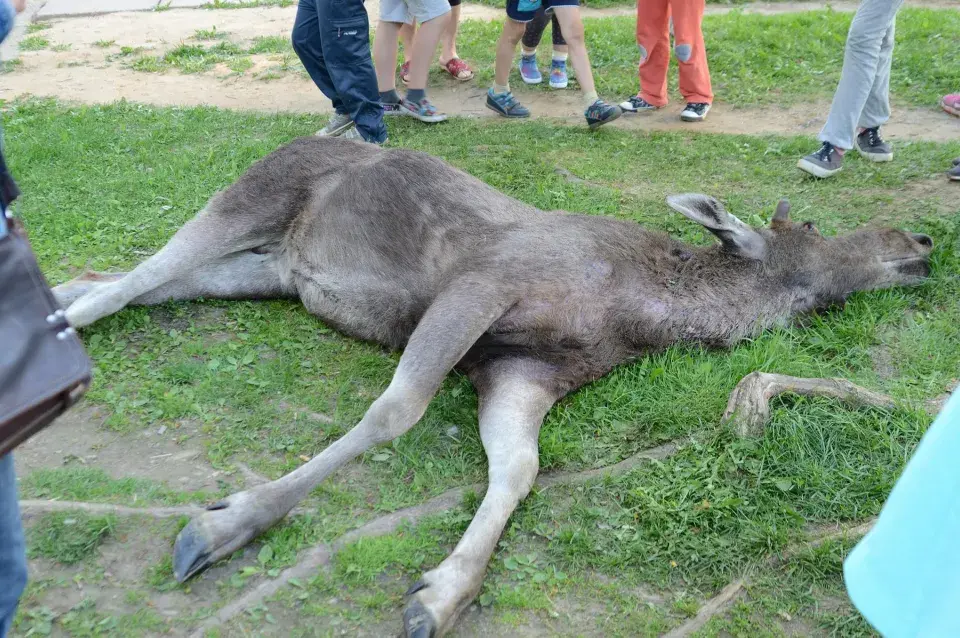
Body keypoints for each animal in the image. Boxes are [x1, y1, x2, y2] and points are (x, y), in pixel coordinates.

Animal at [50, 138, 928, 636]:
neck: (644, 314)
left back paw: (62, 290)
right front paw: (230, 520)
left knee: (131, 281)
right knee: (142, 275)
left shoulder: (520, 373)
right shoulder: (481, 286)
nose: (918, 239)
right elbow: (397, 409)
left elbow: (518, 470)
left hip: (271, 273)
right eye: (813, 231)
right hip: (251, 195)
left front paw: (442, 592)